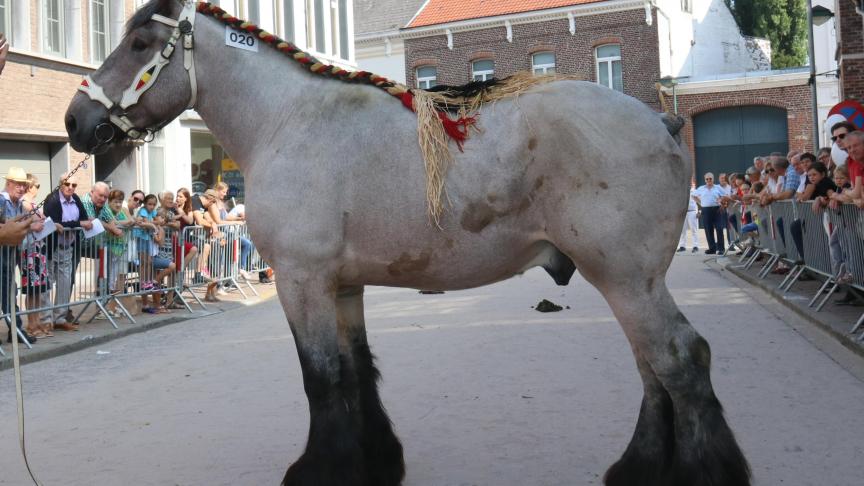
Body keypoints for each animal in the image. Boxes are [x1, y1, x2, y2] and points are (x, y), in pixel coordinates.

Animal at [64, 1, 748, 484]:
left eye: (140, 44)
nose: (77, 119)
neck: (289, 121)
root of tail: (660, 119)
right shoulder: (343, 286)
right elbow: (355, 370)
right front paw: (373, 462)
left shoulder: (303, 282)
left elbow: (321, 377)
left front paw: (320, 472)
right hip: (628, 281)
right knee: (654, 367)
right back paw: (639, 470)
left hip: (628, 279)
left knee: (679, 361)